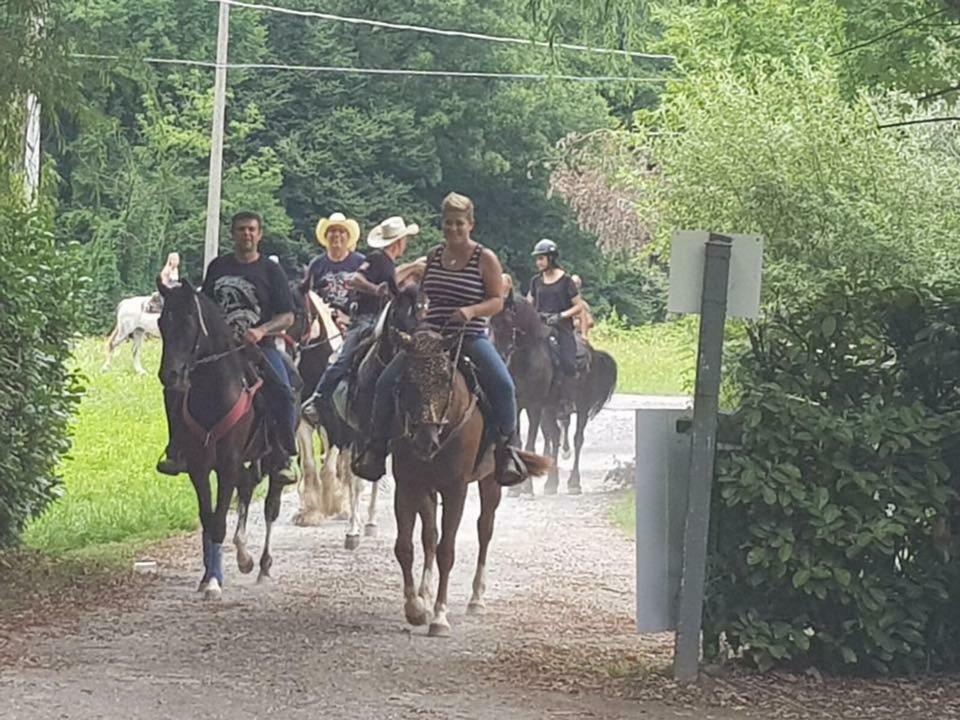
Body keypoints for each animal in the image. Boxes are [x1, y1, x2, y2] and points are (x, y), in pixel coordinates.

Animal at [157, 278, 292, 600]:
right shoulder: (199, 465)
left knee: (271, 506)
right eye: (161, 322)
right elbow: (208, 519)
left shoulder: (228, 462)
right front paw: (208, 576)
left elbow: (219, 520)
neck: (213, 393)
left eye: (189, 322)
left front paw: (215, 584)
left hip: (271, 461)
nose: (171, 375)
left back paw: (263, 565)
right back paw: (244, 557)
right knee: (247, 488)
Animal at [390, 320, 552, 636]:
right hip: (427, 489)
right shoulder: (408, 484)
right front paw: (415, 607)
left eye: (445, 379)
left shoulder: (456, 489)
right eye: (406, 380)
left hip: (491, 483)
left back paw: (476, 599)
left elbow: (447, 551)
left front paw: (439, 617)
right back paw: (425, 594)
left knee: (484, 530)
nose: (425, 441)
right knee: (429, 535)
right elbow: (405, 546)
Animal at [492, 292, 620, 496]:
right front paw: (515, 489)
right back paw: (551, 483)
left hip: (581, 407)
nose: (498, 354)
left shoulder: (535, 406)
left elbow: (530, 444)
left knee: (577, 440)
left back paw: (574, 483)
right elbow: (519, 443)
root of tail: (592, 353)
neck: (524, 361)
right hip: (551, 409)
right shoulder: (518, 406)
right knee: (554, 437)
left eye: (506, 321)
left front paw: (527, 489)